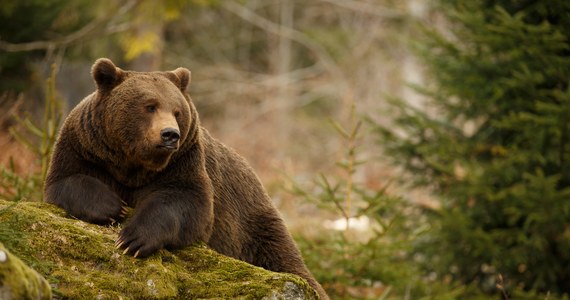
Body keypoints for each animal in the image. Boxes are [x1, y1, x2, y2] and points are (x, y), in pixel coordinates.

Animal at [44, 57, 326, 298]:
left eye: (177, 111)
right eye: (150, 106)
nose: (170, 134)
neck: (133, 164)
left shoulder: (183, 162)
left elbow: (186, 202)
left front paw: (133, 239)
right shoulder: (85, 148)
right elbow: (66, 180)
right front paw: (112, 206)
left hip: (252, 223)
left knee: (283, 258)